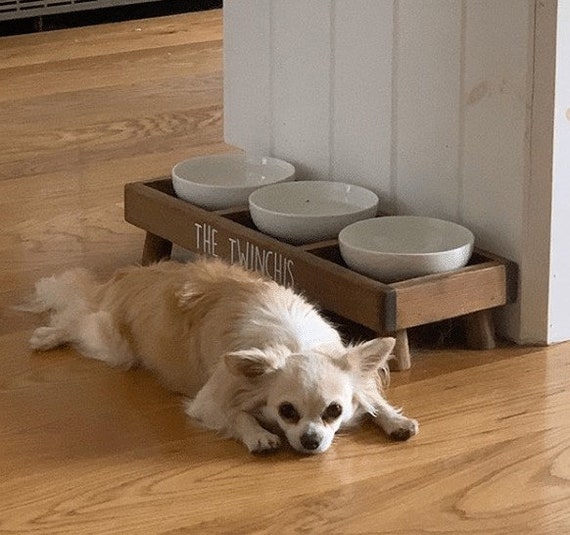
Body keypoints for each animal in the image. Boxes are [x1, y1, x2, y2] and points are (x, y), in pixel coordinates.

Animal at [23, 258, 418, 454]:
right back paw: (48, 336)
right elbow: (234, 413)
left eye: (334, 411)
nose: (310, 440)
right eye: (286, 412)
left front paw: (394, 419)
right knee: (76, 317)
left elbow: (372, 398)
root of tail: (131, 275)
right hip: (113, 344)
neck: (295, 345)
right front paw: (258, 434)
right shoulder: (209, 400)